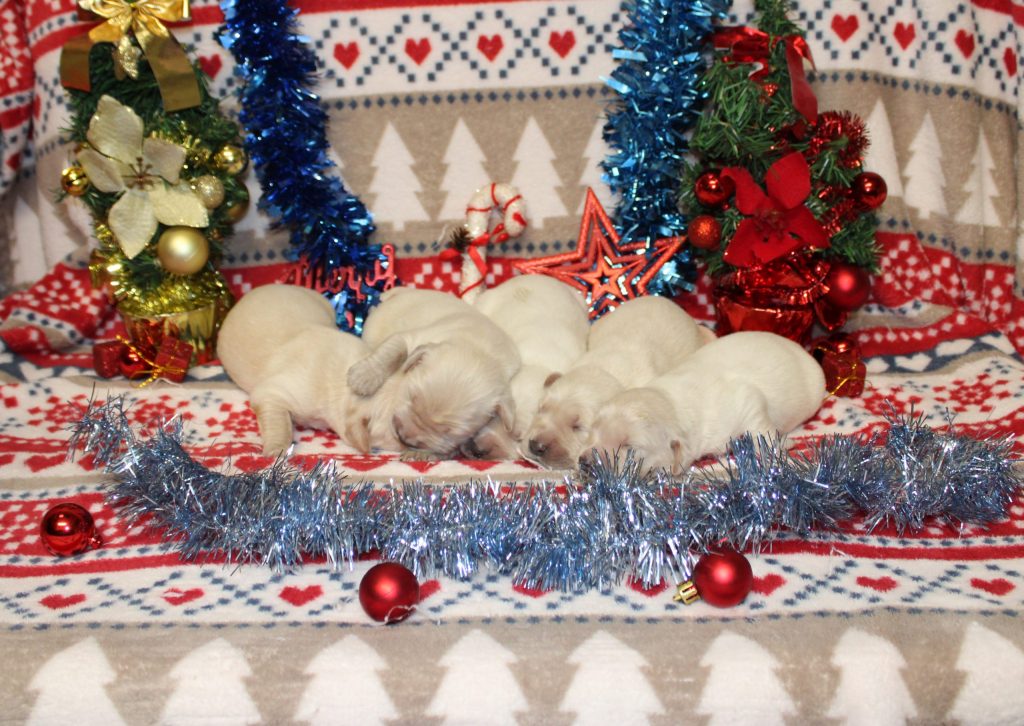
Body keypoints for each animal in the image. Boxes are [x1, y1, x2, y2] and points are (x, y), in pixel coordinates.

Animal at [346, 286, 521, 457]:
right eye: (411, 397)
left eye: (448, 432)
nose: (404, 437)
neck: (478, 348)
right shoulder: (411, 337)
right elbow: (395, 350)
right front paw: (365, 377)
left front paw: (422, 454)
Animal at [581, 331, 827, 476]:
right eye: (593, 431)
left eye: (629, 448)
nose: (585, 462)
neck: (671, 400)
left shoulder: (747, 402)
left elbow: (761, 431)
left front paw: (780, 445)